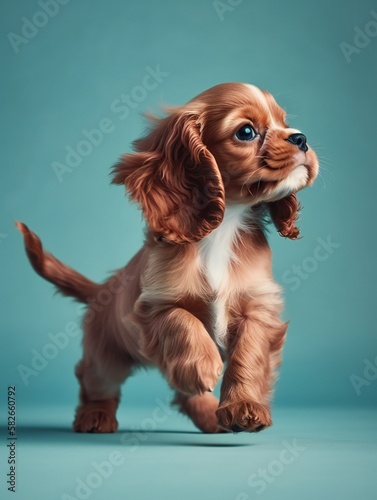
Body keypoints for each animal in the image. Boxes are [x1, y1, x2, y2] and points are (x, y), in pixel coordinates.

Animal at [17, 83, 318, 434]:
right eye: (246, 132)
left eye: (285, 122)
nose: (301, 138)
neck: (224, 225)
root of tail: (103, 288)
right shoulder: (152, 305)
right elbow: (181, 320)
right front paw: (203, 364)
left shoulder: (257, 307)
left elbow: (248, 355)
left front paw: (244, 407)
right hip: (106, 357)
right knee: (96, 381)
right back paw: (96, 416)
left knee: (185, 391)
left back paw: (211, 416)